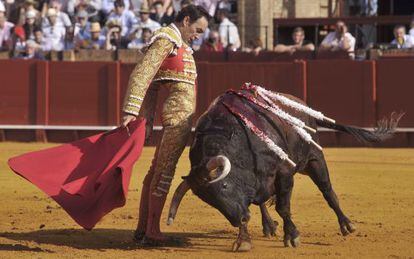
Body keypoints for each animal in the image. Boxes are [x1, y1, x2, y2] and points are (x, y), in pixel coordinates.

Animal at [165, 89, 402, 252]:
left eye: (224, 185)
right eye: (208, 200)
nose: (237, 219)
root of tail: (300, 104)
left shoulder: (285, 172)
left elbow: (283, 207)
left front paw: (292, 236)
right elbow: (253, 206)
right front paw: (243, 241)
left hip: (313, 159)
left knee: (327, 190)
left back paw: (347, 225)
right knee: (261, 202)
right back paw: (268, 226)